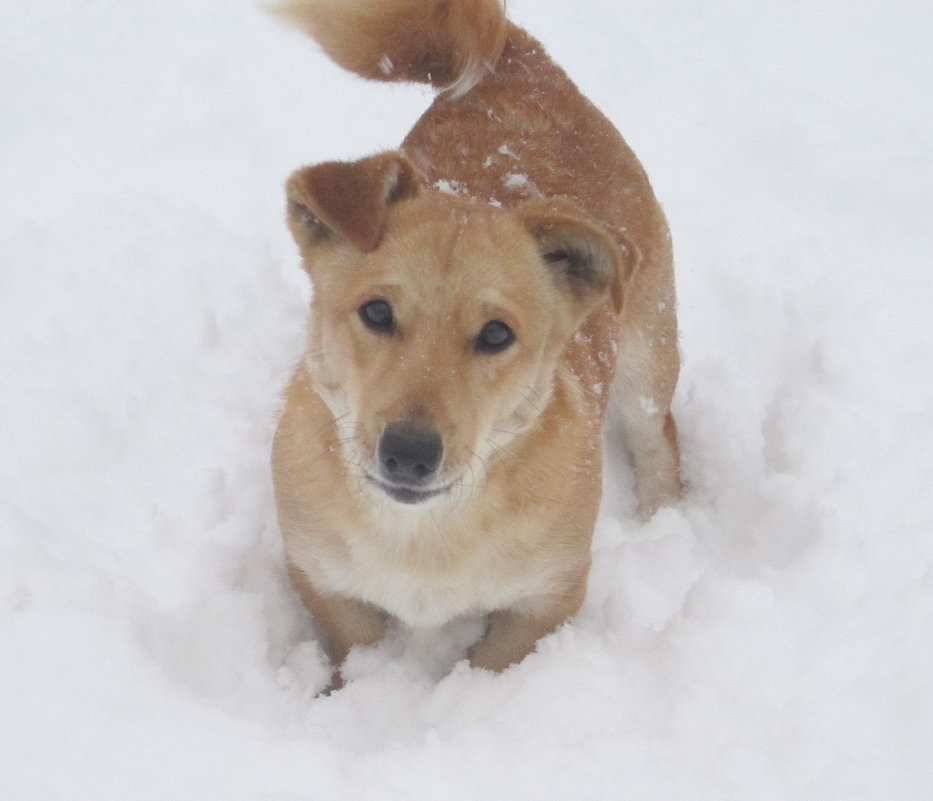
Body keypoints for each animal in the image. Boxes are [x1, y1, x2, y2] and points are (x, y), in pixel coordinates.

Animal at [270, 1, 676, 688]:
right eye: (376, 311)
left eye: (496, 334)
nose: (409, 453)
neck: (422, 534)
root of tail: (519, 56)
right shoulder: (321, 578)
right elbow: (356, 646)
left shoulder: (548, 597)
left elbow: (492, 668)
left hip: (649, 346)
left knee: (657, 439)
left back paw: (666, 524)